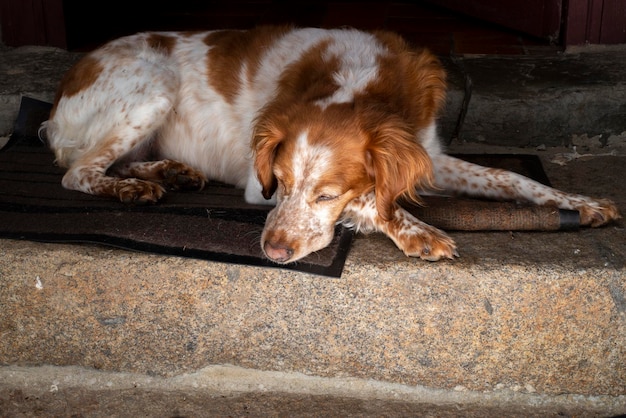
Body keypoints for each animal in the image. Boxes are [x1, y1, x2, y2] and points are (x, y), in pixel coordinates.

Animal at [40, 26, 620, 262]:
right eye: (280, 186)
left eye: (324, 195)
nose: (274, 251)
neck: (355, 81)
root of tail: (62, 88)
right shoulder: (255, 185)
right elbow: (375, 200)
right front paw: (419, 230)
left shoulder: (427, 151)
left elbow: (509, 176)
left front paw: (580, 203)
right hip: (153, 86)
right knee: (77, 171)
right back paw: (132, 189)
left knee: (108, 163)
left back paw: (166, 173)